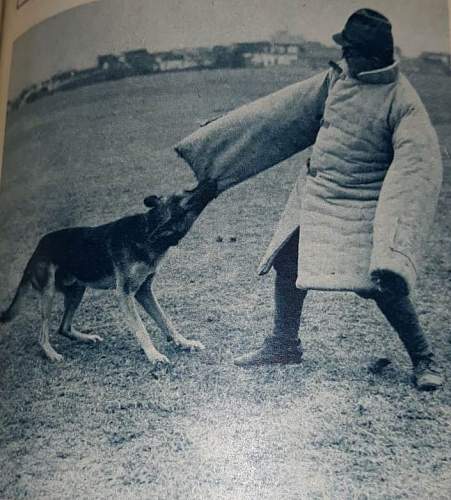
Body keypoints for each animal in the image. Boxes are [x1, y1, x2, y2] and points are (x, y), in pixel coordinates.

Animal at [0, 178, 219, 366]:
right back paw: (50, 352)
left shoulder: (144, 291)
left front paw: (183, 342)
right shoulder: (125, 293)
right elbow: (141, 329)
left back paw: (85, 338)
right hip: (48, 295)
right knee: (43, 334)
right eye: (186, 193)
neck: (148, 231)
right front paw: (153, 354)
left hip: (77, 291)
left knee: (63, 327)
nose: (212, 181)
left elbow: (166, 320)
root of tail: (37, 249)